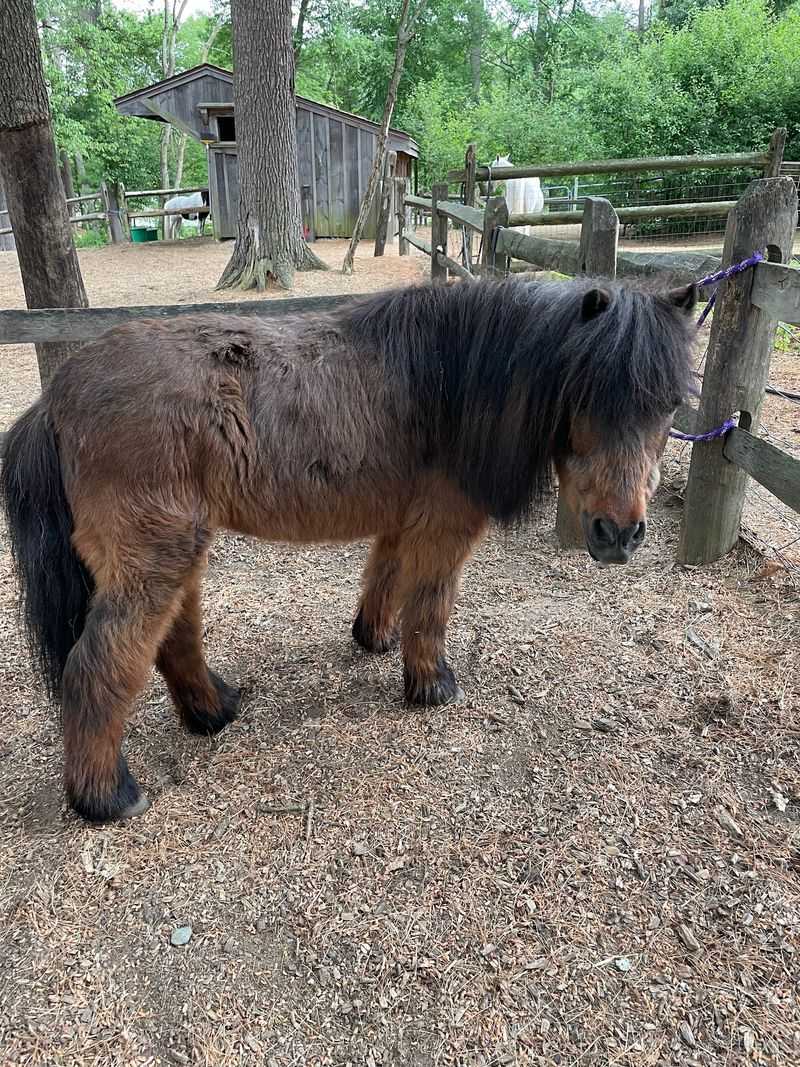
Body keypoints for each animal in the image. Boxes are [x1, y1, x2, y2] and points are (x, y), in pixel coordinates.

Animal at [1, 276, 697, 824]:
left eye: (668, 406)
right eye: (586, 395)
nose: (619, 534)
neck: (451, 379)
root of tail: (56, 397)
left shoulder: (401, 518)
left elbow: (384, 578)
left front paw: (375, 639)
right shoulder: (443, 528)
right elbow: (431, 606)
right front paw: (431, 684)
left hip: (175, 551)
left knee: (174, 638)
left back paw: (213, 712)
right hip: (152, 558)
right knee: (99, 665)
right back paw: (105, 798)